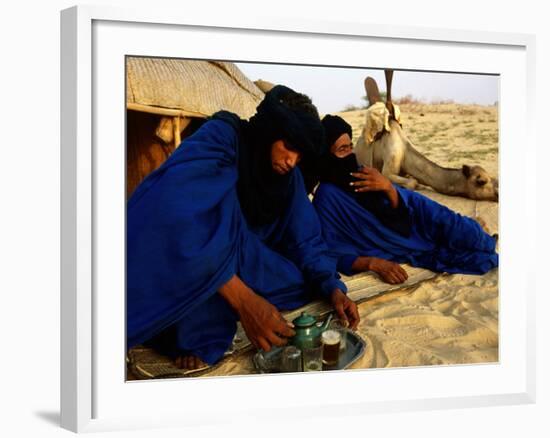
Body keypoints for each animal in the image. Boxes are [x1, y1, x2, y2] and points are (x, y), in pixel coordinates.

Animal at [356, 70, 502, 202]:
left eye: (492, 177)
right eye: (481, 181)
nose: (498, 194)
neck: (405, 152)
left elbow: (413, 179)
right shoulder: (388, 167)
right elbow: (411, 182)